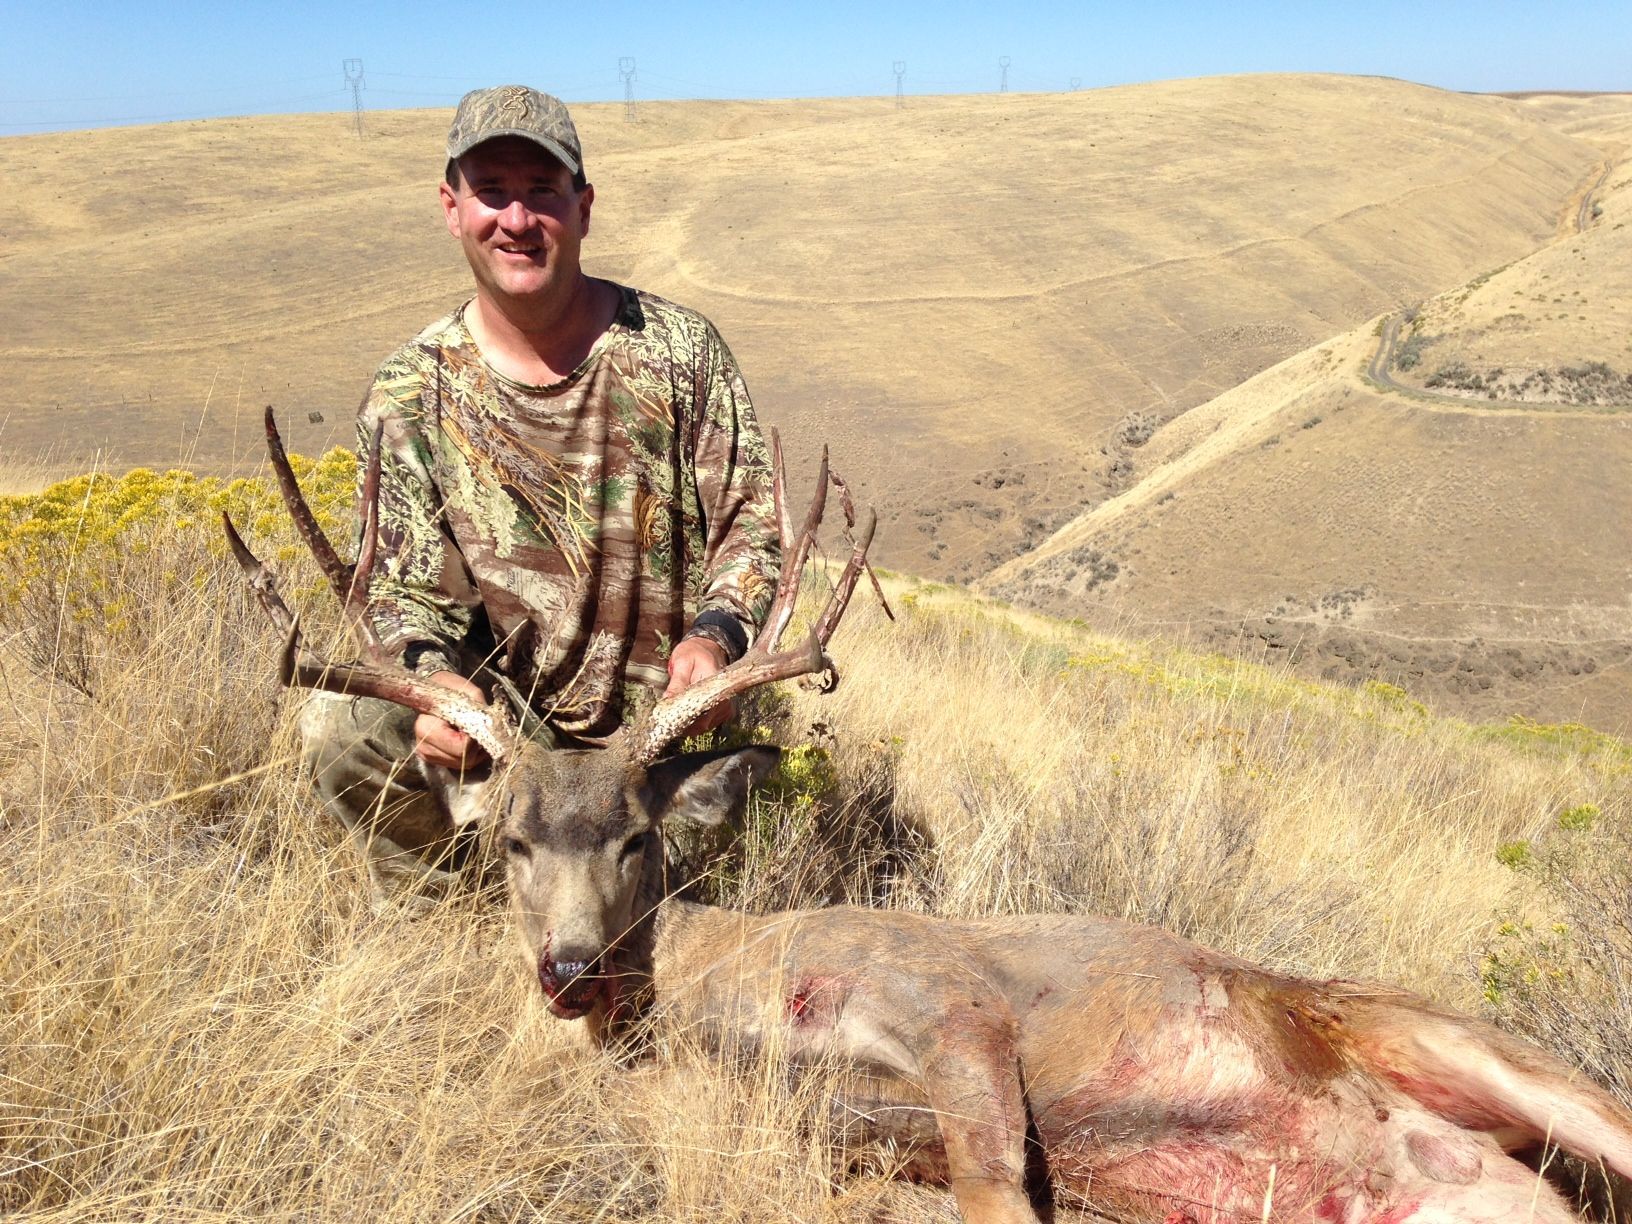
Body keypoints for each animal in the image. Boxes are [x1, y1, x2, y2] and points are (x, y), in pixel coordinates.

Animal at [227, 409, 1632, 1224]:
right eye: (509, 843)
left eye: (636, 837)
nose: (569, 971)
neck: (713, 992)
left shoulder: (948, 998)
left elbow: (1000, 1188)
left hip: (1468, 1047)